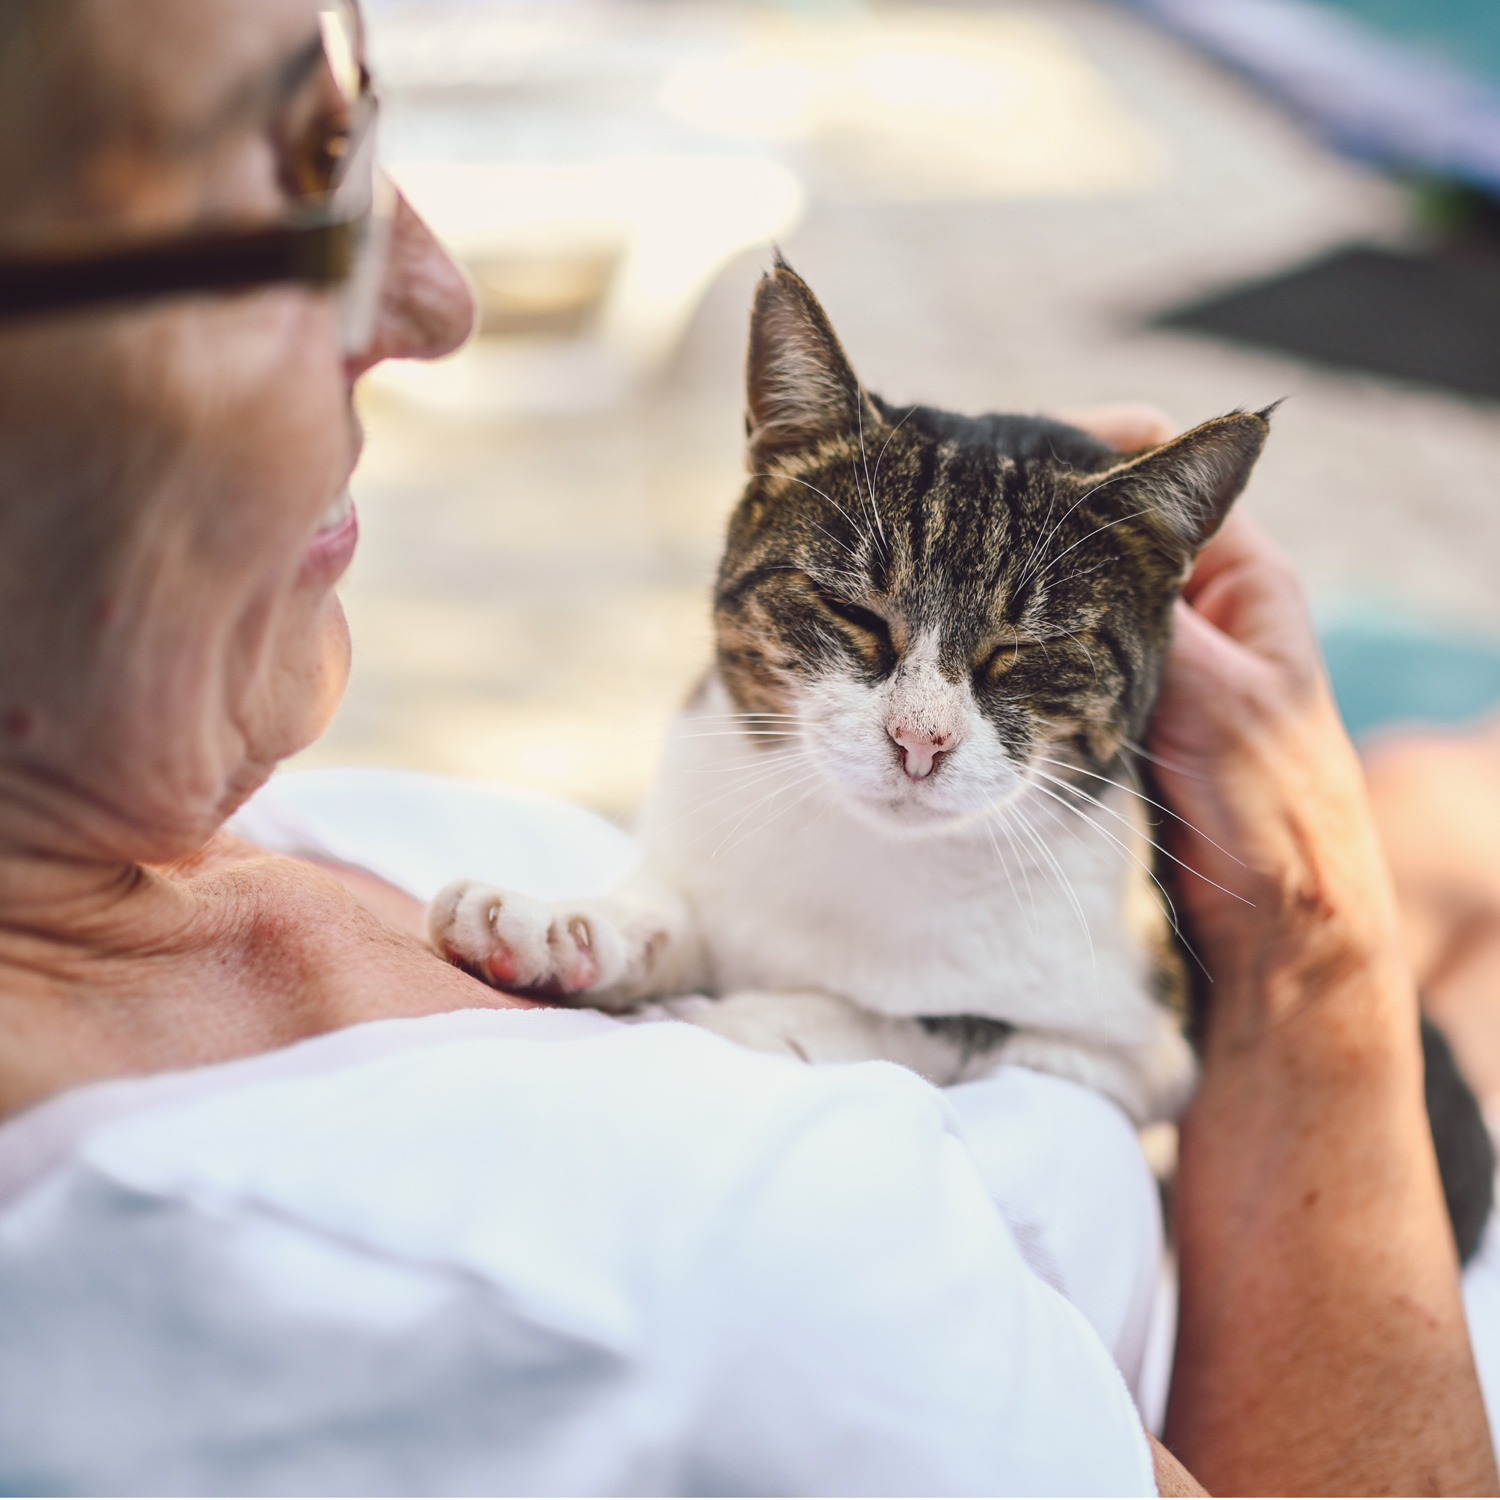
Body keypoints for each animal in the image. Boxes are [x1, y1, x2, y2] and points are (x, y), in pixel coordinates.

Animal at [426, 261, 1278, 1128]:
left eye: (1023, 650)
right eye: (854, 611)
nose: (920, 740)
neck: (863, 852)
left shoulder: (1134, 1054)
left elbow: (931, 1021)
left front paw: (733, 1023)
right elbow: (674, 912)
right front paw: (559, 926)